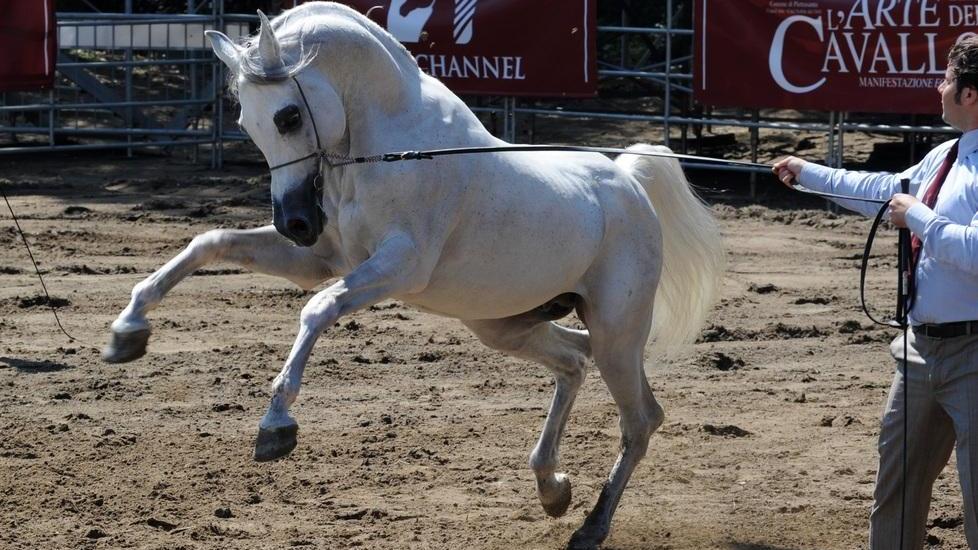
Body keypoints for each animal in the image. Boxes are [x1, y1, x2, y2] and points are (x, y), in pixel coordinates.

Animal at [101, 3, 724, 548]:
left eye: (288, 116)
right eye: (245, 122)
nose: (295, 222)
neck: (394, 149)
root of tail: (629, 182)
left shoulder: (397, 267)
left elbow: (317, 309)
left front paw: (276, 424)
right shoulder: (323, 261)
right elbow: (209, 243)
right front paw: (127, 331)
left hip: (618, 332)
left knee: (641, 419)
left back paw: (591, 527)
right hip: (503, 325)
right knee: (573, 361)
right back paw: (553, 489)